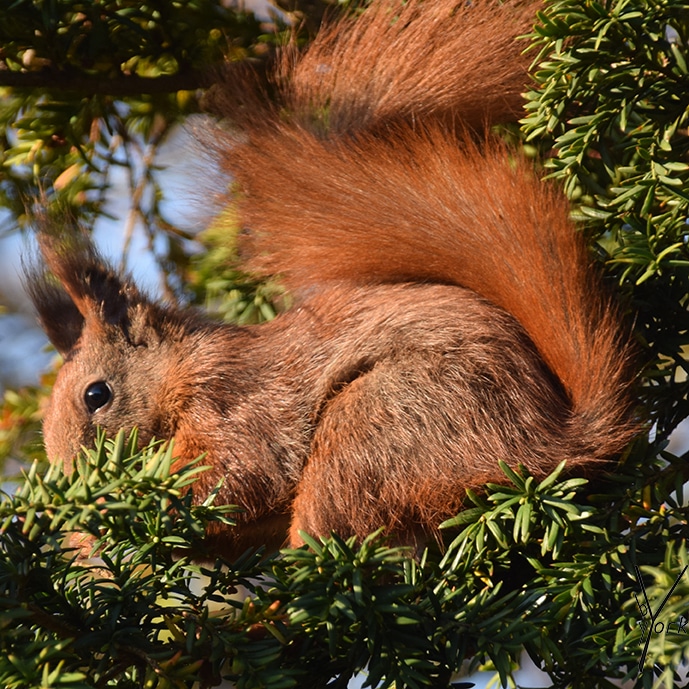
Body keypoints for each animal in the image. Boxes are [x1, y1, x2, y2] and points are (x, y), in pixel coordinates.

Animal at [26, 0, 640, 556]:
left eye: (97, 395)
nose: (79, 483)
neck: (184, 369)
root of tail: (551, 442)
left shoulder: (236, 402)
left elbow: (236, 474)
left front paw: (111, 517)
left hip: (380, 422)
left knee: (332, 523)